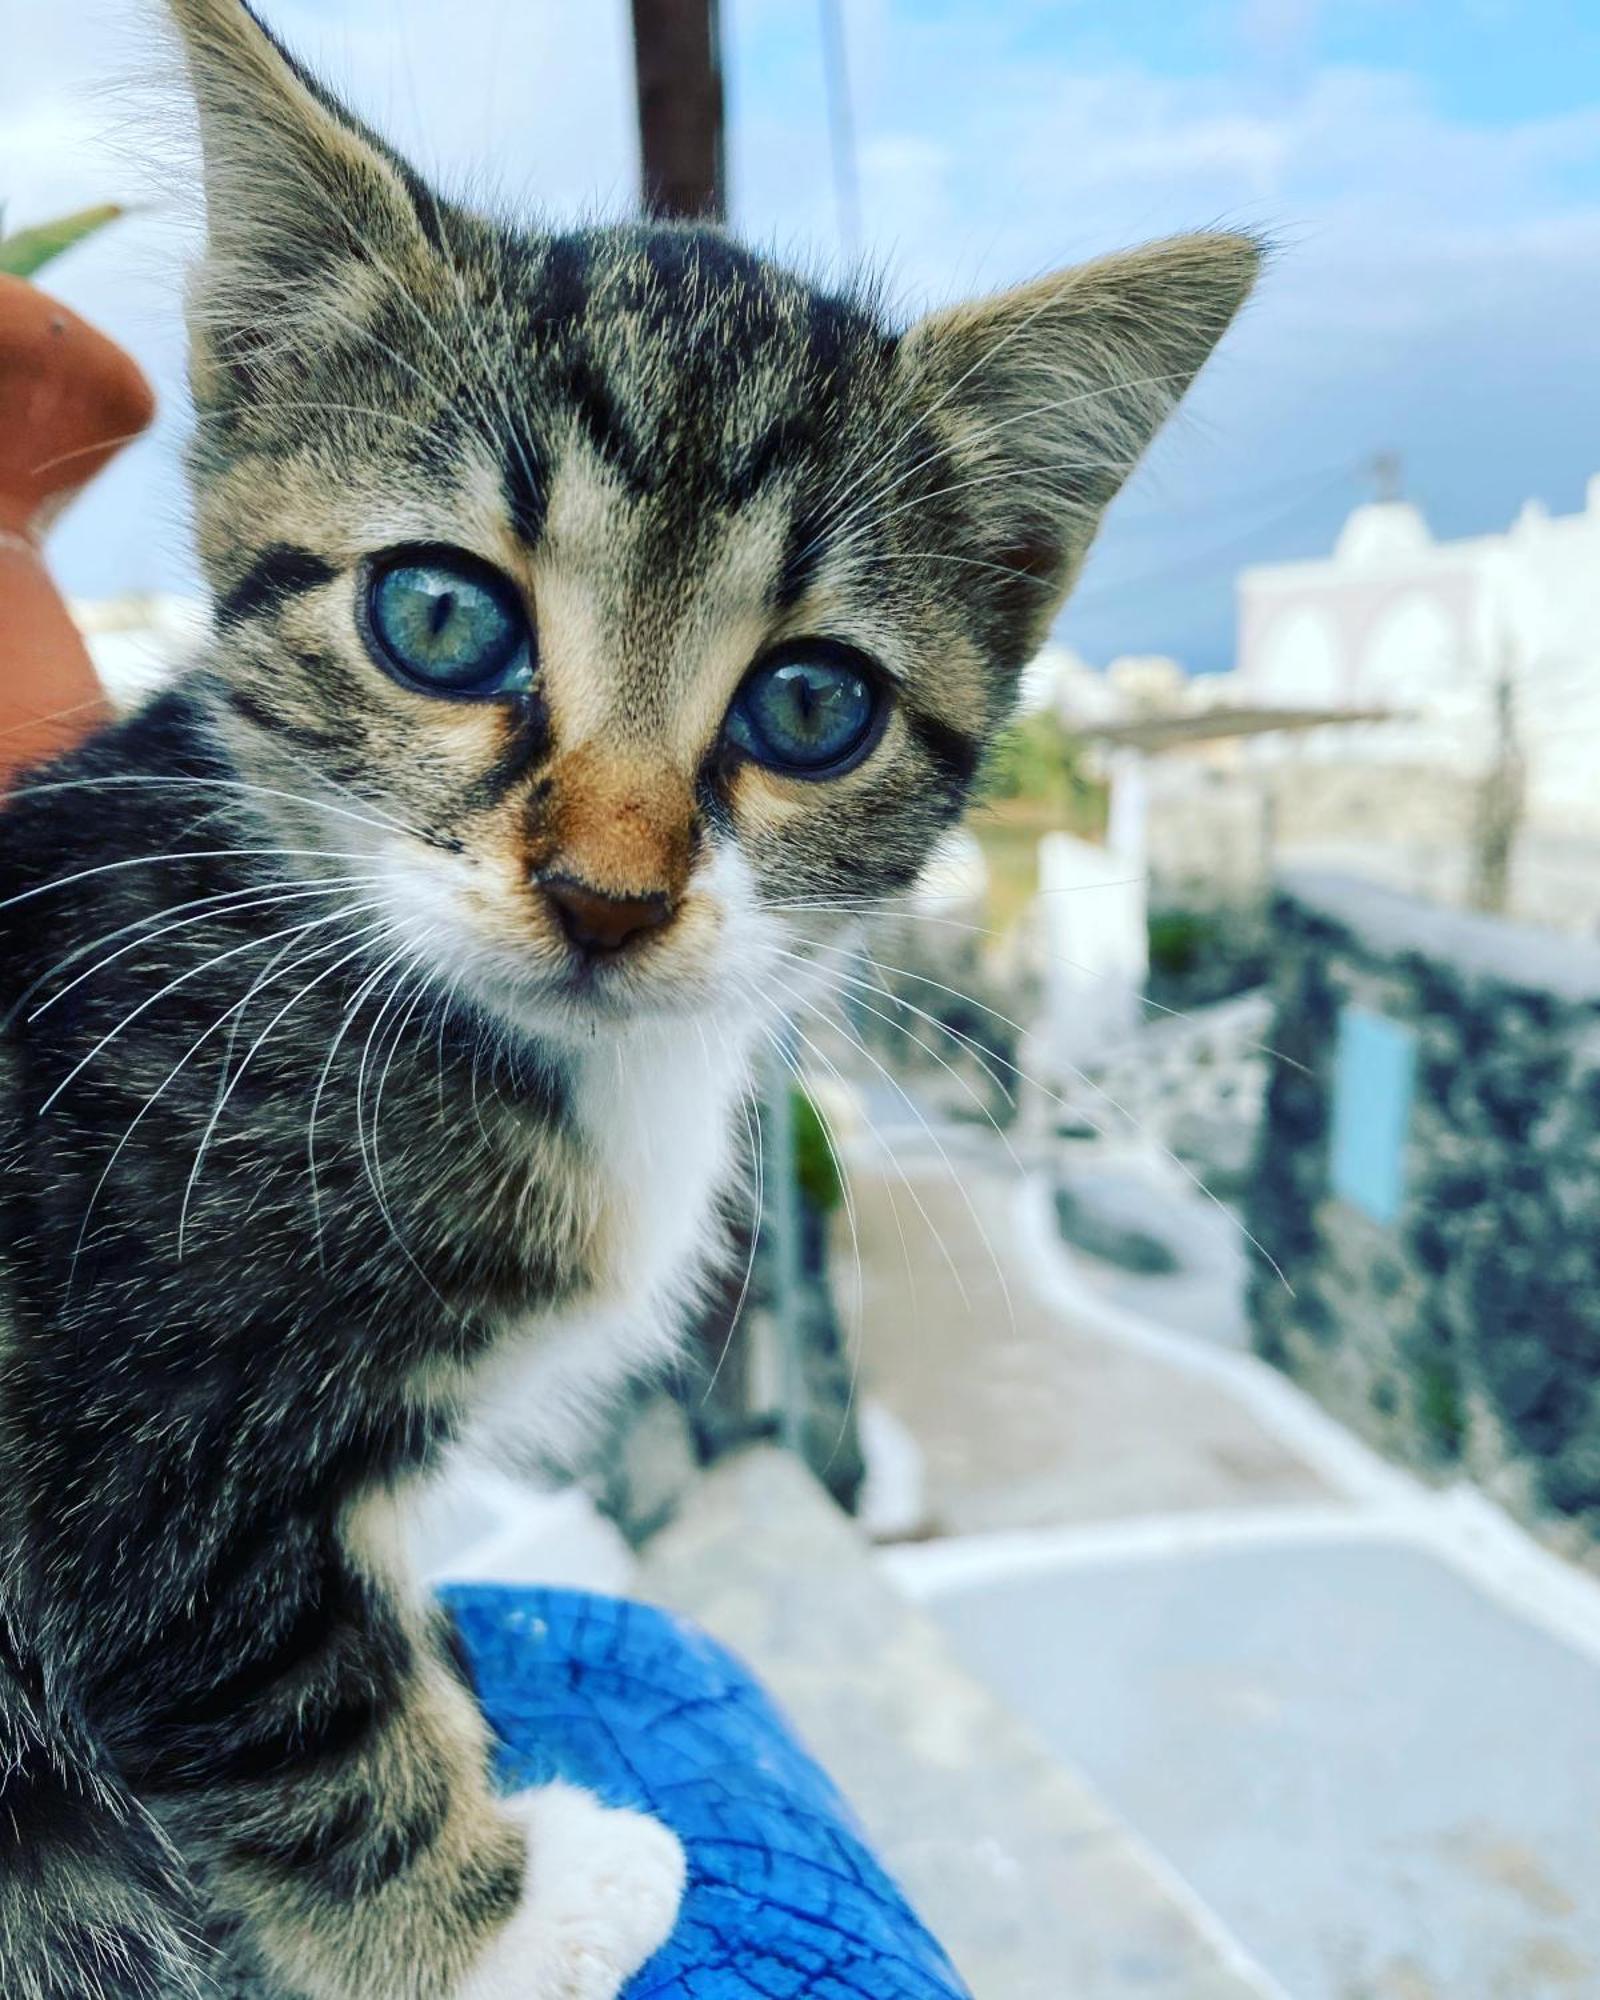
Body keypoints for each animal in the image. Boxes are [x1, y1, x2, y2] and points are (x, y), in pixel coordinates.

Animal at [0, 3, 1256, 2000]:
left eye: (812, 707)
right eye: (441, 619)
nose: (609, 889)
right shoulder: (136, 1415)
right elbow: (283, 1699)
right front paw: (516, 1911)